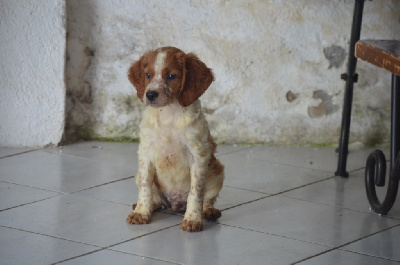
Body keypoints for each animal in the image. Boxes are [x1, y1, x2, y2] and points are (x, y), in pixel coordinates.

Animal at [126, 47, 223, 231]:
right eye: (148, 75)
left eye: (171, 76)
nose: (150, 94)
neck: (168, 113)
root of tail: (175, 205)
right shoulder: (146, 153)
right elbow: (145, 187)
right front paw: (141, 213)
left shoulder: (198, 154)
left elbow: (196, 192)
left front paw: (193, 219)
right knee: (155, 198)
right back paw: (144, 206)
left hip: (217, 173)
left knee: (207, 199)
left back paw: (209, 212)